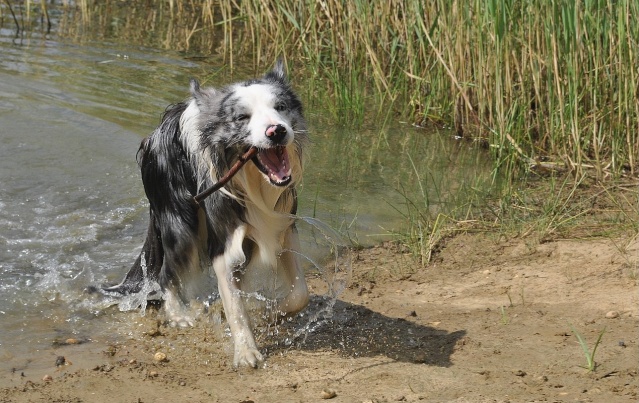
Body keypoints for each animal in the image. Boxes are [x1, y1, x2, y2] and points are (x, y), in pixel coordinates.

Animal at [102, 60, 310, 370]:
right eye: (242, 117)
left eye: (281, 107)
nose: (277, 131)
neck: (253, 182)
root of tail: (155, 134)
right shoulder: (223, 240)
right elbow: (235, 306)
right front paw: (246, 352)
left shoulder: (283, 226)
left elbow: (300, 294)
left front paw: (269, 311)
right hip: (180, 224)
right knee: (166, 272)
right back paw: (178, 314)